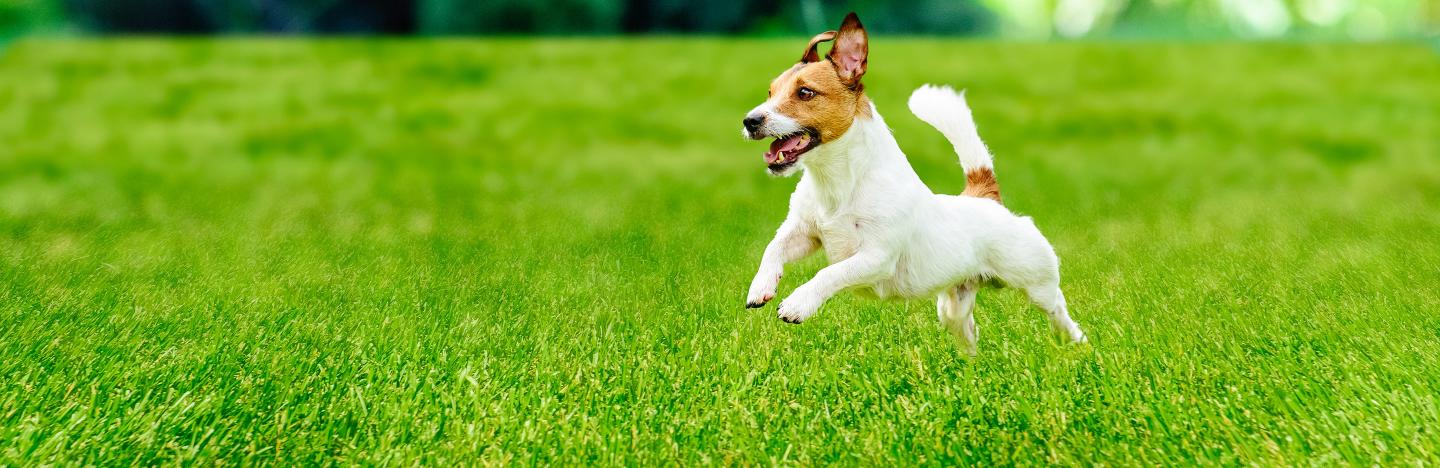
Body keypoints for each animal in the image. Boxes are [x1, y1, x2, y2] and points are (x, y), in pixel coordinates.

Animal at [743, 11, 1082, 354]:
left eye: (805, 92)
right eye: (770, 92)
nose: (750, 121)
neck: (836, 181)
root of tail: (984, 196)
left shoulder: (876, 256)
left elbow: (830, 272)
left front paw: (798, 304)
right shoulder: (804, 233)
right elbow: (773, 248)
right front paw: (760, 286)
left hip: (1035, 278)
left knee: (1057, 306)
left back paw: (1075, 341)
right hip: (953, 305)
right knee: (968, 328)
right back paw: (972, 360)